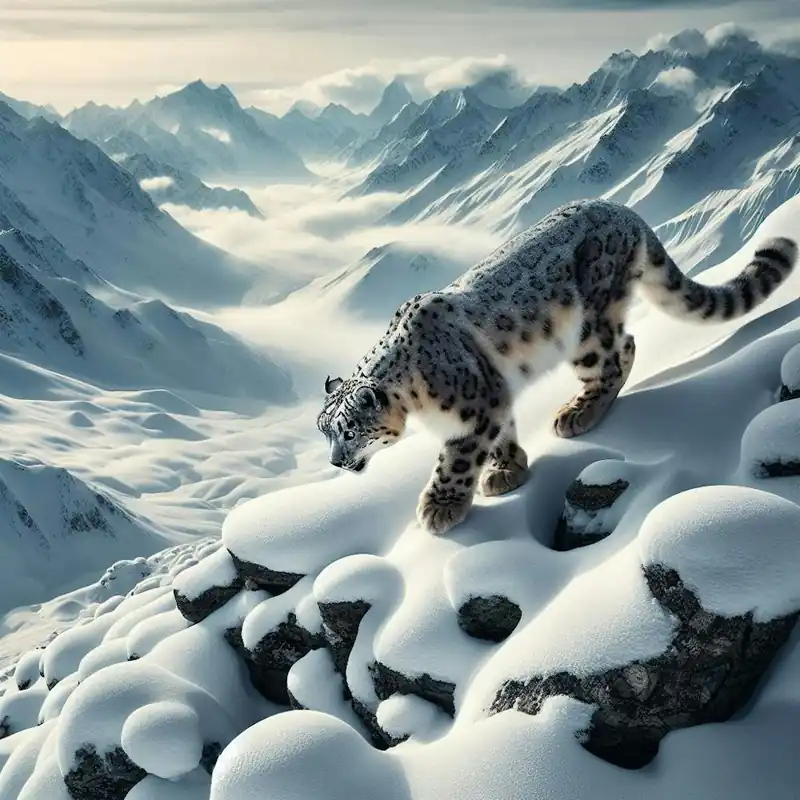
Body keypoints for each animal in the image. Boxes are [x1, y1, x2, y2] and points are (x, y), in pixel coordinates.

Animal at [316, 199, 797, 536]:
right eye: (325, 433)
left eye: (349, 431)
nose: (336, 462)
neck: (416, 401)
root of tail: (622, 210)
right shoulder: (494, 396)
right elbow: (502, 435)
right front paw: (506, 472)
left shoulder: (473, 407)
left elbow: (455, 459)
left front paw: (440, 506)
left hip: (585, 330)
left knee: (619, 352)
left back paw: (578, 412)